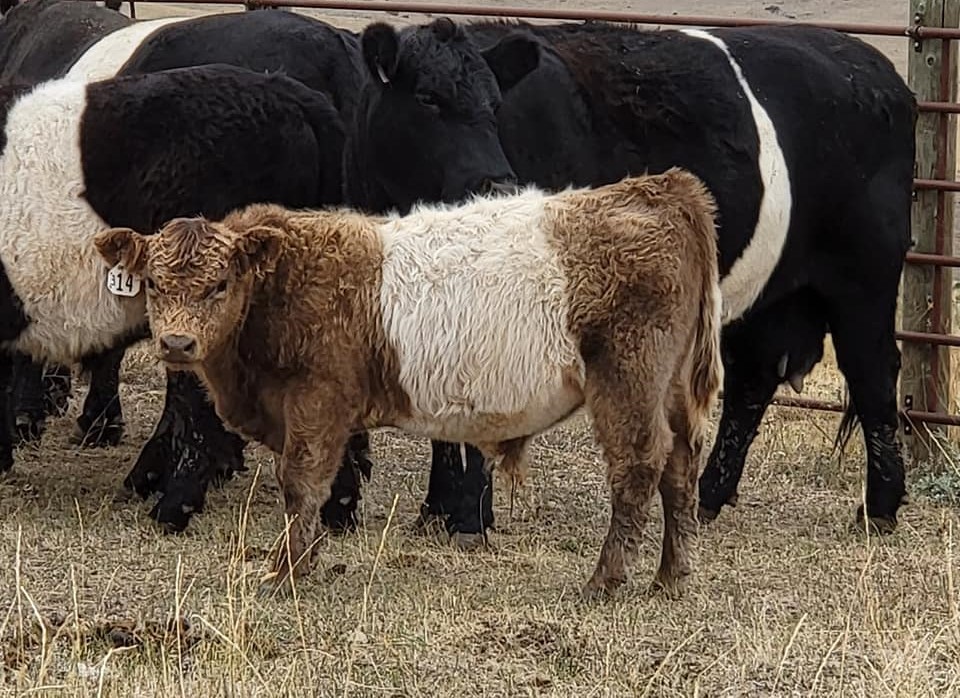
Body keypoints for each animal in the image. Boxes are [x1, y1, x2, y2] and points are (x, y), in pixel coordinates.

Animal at [95, 166, 720, 596]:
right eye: (153, 284)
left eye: (220, 284)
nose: (177, 344)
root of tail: (659, 188)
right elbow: (315, 486)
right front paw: (308, 558)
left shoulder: (317, 401)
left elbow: (301, 483)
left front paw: (284, 573)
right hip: (667, 389)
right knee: (680, 466)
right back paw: (672, 576)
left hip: (628, 379)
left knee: (639, 466)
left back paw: (605, 582)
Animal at [344, 20, 916, 532]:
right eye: (427, 98)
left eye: (495, 105)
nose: (496, 182)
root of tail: (873, 66)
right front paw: (436, 512)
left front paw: (468, 518)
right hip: (774, 293)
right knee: (753, 378)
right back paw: (708, 498)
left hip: (864, 275)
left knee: (872, 372)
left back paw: (879, 510)